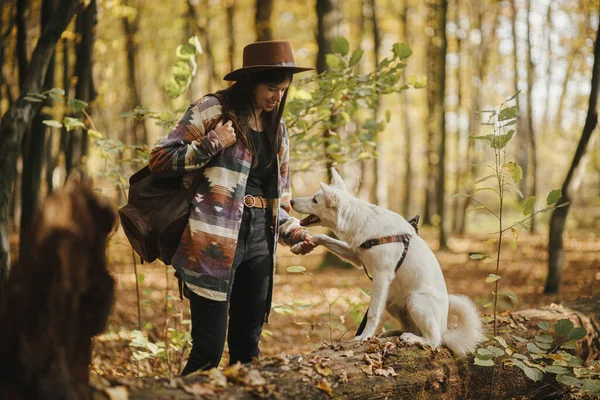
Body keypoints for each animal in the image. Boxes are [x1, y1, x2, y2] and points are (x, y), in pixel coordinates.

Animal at [290, 169, 482, 356]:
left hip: (415, 301)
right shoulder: (356, 257)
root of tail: (445, 330)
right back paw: (393, 333)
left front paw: (365, 336)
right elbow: (322, 236)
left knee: (434, 340)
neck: (360, 221)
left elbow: (373, 313)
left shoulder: (382, 276)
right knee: (411, 328)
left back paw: (414, 339)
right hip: (391, 302)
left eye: (315, 200)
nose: (291, 201)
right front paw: (301, 245)